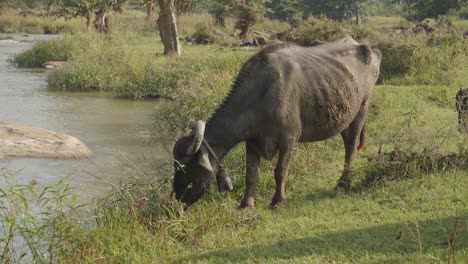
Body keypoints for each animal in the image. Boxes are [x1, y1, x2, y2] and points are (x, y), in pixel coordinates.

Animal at [174, 35, 382, 208]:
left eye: (186, 166)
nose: (177, 198)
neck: (261, 96)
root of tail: (370, 50)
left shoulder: (289, 138)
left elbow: (280, 171)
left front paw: (277, 200)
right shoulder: (252, 141)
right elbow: (251, 175)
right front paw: (246, 203)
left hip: (361, 109)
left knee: (351, 148)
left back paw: (343, 183)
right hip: (344, 118)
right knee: (347, 145)